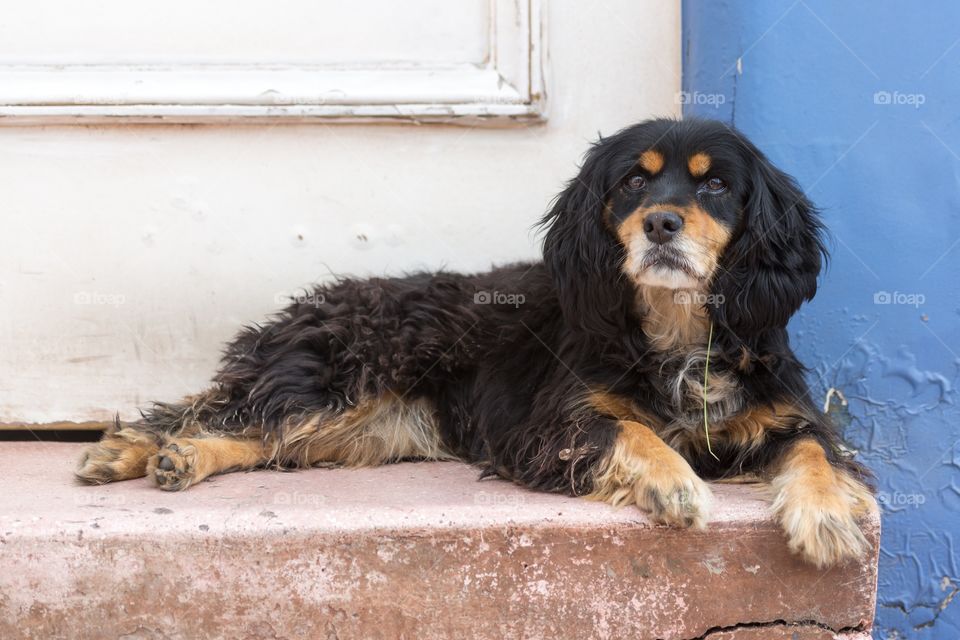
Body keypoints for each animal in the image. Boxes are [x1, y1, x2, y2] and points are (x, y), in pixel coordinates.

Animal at [79, 117, 872, 568]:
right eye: (630, 184)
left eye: (715, 189)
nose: (660, 223)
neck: (674, 330)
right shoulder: (550, 425)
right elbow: (632, 432)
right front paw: (676, 483)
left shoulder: (785, 415)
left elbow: (815, 452)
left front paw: (828, 519)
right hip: (337, 379)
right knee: (219, 411)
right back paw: (139, 452)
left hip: (359, 430)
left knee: (250, 434)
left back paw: (165, 457)